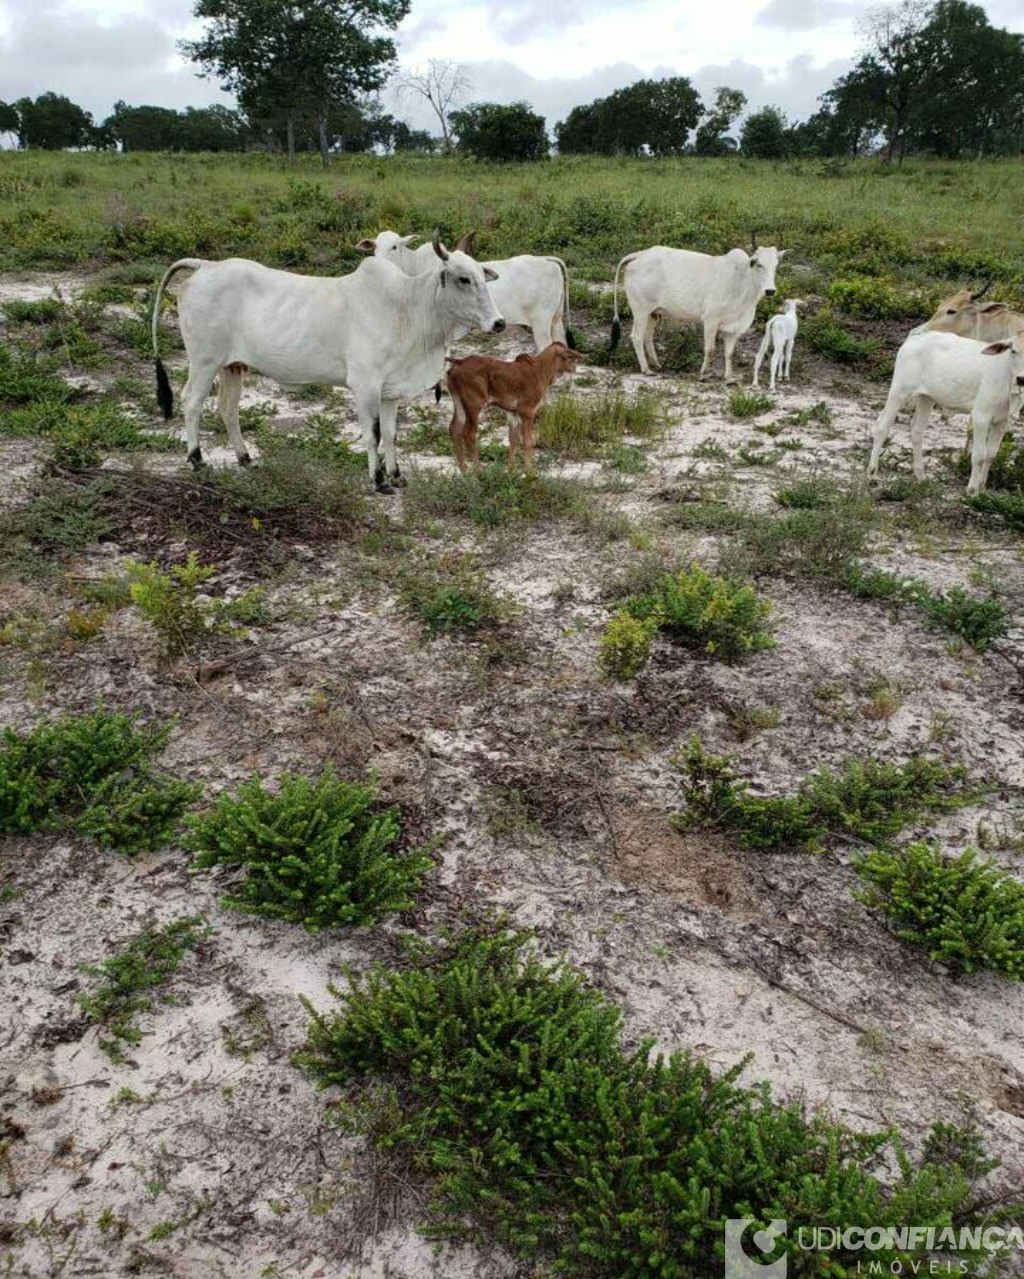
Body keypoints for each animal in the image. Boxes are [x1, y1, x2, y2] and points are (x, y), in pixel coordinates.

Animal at [355, 228, 570, 350]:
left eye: (394, 246)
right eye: (374, 247)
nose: (377, 263)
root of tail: (546, 260)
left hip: (541, 323)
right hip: (556, 320)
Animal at [444, 342, 580, 473]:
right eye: (568, 357)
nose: (574, 367)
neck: (543, 373)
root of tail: (458, 362)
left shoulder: (512, 412)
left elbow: (513, 440)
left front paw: (511, 469)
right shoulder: (527, 410)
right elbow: (528, 442)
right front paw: (530, 471)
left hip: (458, 402)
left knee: (455, 428)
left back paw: (464, 471)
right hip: (474, 404)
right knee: (469, 434)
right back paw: (478, 472)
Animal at [864, 329, 1022, 488]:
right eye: (1013, 350)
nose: (1021, 379)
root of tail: (915, 338)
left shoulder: (1003, 421)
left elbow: (991, 454)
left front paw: (982, 487)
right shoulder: (980, 416)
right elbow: (979, 455)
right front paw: (972, 490)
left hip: (926, 398)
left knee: (916, 431)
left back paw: (921, 476)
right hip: (899, 391)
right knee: (882, 428)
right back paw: (872, 474)